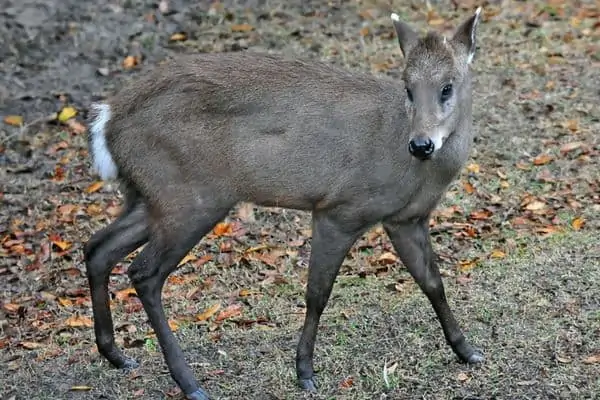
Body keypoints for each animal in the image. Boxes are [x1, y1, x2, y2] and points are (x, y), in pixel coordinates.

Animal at [84, 7, 486, 400]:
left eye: (447, 87)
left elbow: (433, 282)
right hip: (189, 199)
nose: (421, 144)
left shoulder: (406, 218)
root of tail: (108, 120)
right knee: (143, 272)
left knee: (98, 247)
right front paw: (305, 371)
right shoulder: (340, 209)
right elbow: (317, 293)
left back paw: (117, 355)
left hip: (154, 197)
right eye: (408, 87)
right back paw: (190, 383)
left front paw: (467, 351)